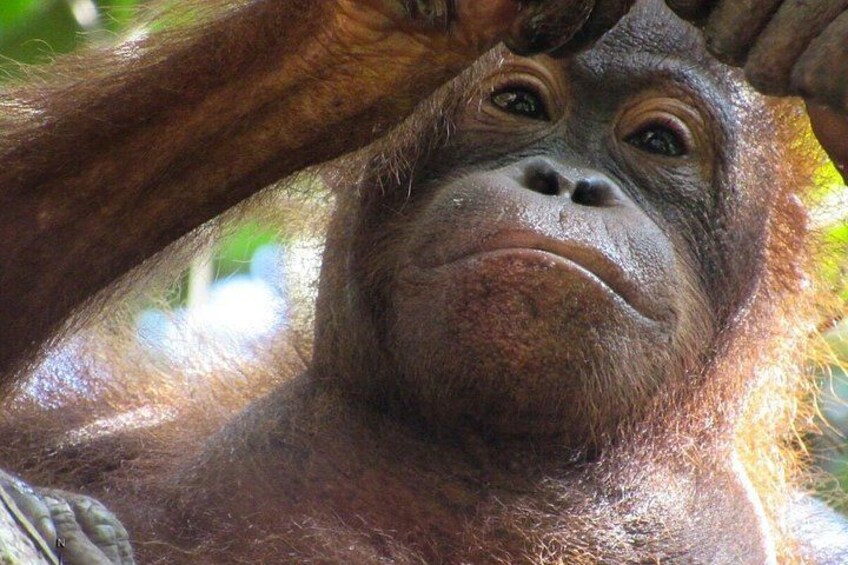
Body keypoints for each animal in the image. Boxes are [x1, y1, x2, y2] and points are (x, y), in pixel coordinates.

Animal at [2, 0, 848, 563]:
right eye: (518, 102)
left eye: (659, 142)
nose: (570, 184)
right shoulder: (110, 424)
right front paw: (387, 29)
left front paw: (824, 47)